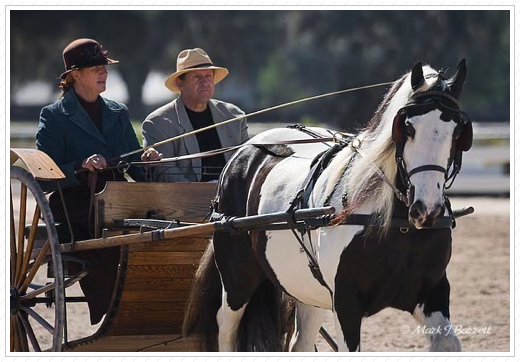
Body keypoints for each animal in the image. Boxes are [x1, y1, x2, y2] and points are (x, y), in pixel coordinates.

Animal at [185, 60, 474, 352]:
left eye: (458, 132)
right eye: (408, 128)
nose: (427, 209)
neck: (398, 224)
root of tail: (247, 149)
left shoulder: (432, 293)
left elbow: (450, 343)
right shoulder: (346, 303)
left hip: (307, 289)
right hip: (237, 280)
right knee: (226, 329)